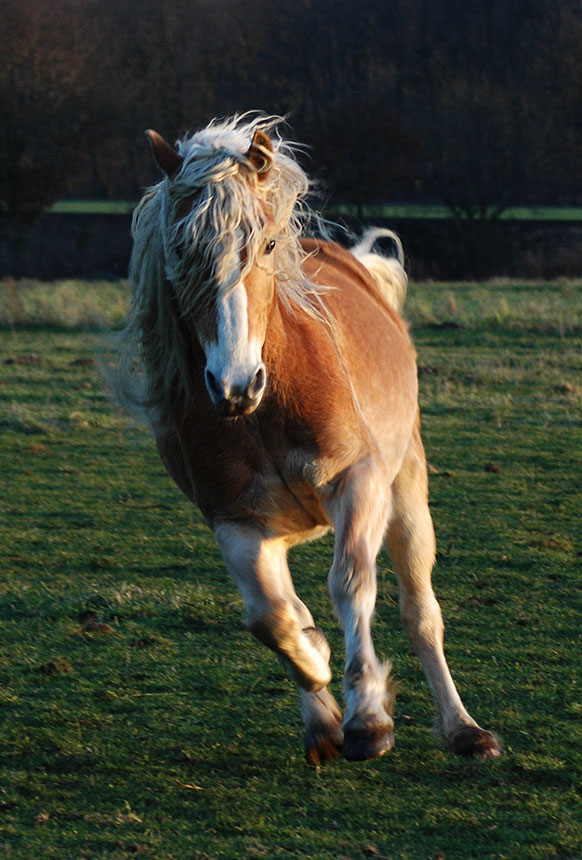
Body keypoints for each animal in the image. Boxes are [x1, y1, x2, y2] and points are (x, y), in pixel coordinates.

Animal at [115, 114, 502, 764]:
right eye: (182, 251)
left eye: (268, 246)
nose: (235, 384)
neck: (264, 413)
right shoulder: (236, 522)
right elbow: (269, 618)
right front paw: (318, 668)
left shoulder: (359, 483)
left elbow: (350, 584)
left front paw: (368, 715)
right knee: (288, 605)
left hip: (405, 491)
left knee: (421, 611)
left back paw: (463, 730)